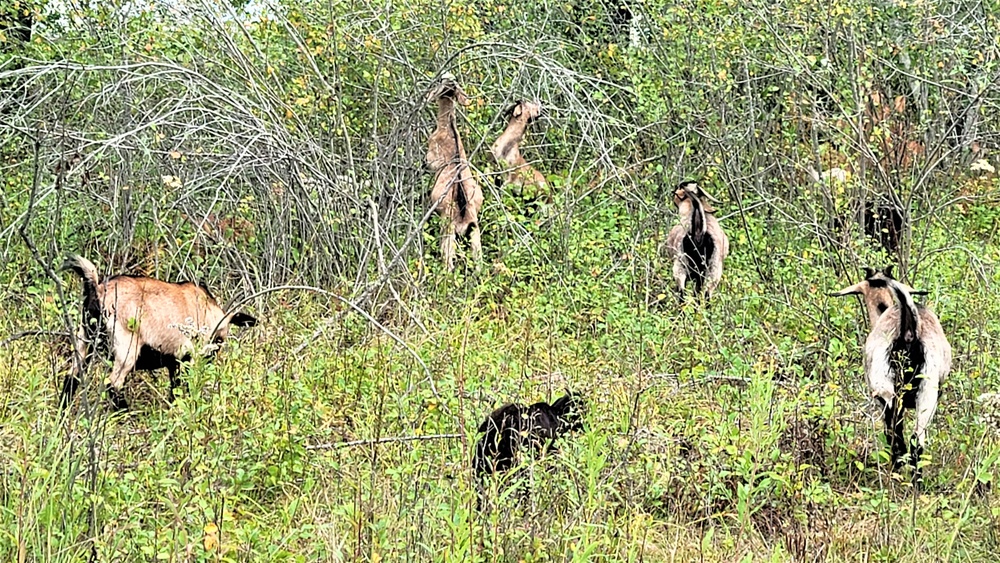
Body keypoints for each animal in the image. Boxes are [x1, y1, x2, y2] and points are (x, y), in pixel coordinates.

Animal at [60, 256, 256, 410]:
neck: (206, 310)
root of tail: (97, 290)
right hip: (126, 349)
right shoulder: (189, 355)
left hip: (84, 339)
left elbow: (175, 388)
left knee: (72, 376)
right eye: (219, 339)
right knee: (113, 383)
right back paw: (126, 412)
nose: (210, 358)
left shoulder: (175, 360)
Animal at [828, 266, 952, 482]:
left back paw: (896, 472)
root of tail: (908, 331)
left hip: (887, 389)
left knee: (896, 436)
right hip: (927, 392)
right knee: (916, 440)